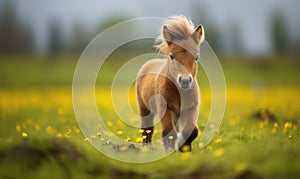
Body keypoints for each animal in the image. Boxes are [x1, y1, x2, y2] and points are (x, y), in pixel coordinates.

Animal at [135, 15, 204, 152]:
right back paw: (147, 149)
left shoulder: (191, 108)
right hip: (144, 108)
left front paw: (184, 148)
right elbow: (168, 131)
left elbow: (192, 130)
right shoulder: (165, 108)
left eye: (196, 57)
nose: (184, 81)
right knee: (147, 129)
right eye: (172, 56)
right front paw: (170, 150)